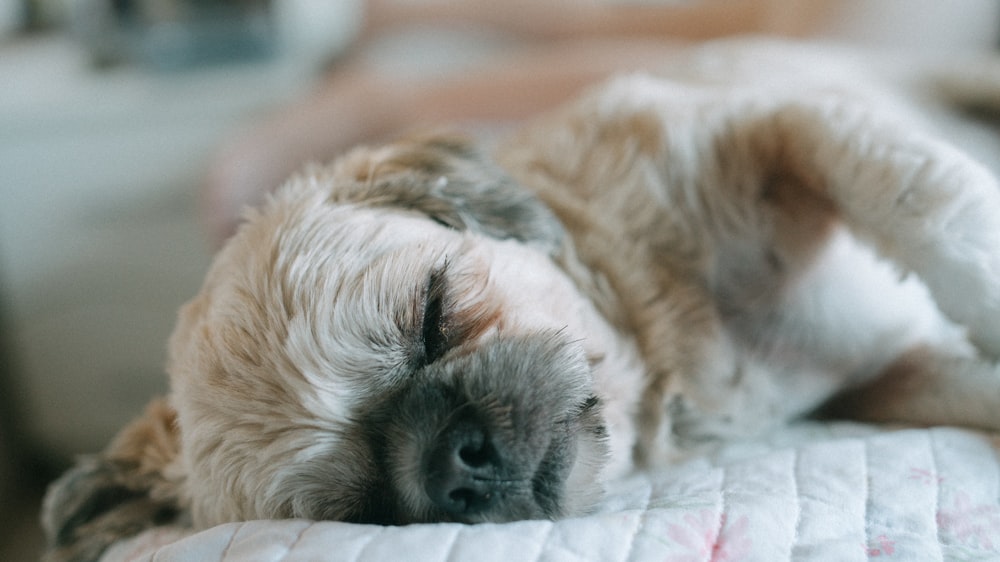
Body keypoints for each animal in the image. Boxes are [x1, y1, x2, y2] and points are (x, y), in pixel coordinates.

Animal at [43, 39, 1000, 560]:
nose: (456, 461)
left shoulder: (777, 130)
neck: (664, 338)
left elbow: (935, 209)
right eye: (366, 507)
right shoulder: (896, 379)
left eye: (432, 317)